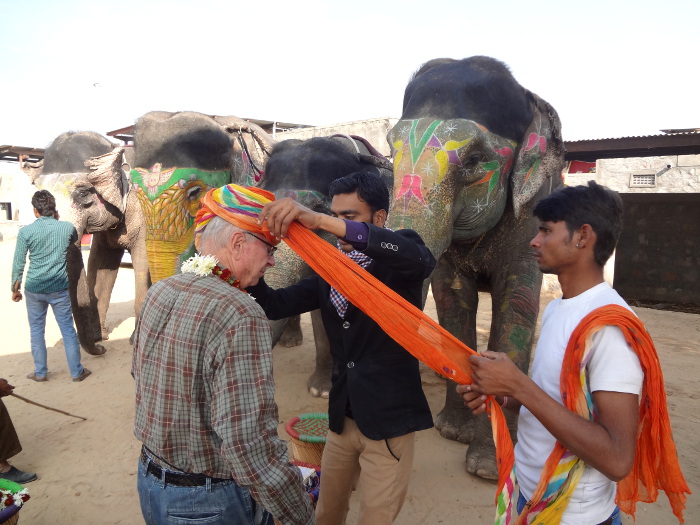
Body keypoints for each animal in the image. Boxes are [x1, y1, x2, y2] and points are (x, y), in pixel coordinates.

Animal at [27, 130, 150, 352]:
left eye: (83, 193)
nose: (101, 349)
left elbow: (144, 265)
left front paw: (133, 341)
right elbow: (100, 266)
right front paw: (100, 336)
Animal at [386, 56, 568, 478]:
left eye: (473, 161)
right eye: (389, 153)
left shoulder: (532, 210)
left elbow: (517, 300)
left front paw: (488, 466)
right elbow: (451, 297)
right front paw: (453, 432)